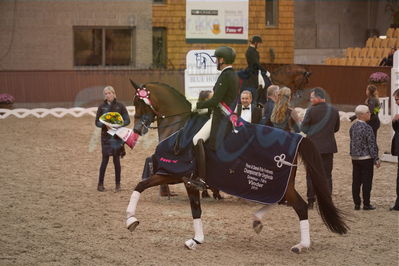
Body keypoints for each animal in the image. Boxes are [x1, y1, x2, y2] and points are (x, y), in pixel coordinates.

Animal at [126, 80, 348, 252]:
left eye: (139, 102)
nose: (136, 129)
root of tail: (297, 138)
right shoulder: (174, 175)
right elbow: (142, 186)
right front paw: (132, 220)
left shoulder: (182, 175)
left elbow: (193, 207)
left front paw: (131, 219)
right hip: (279, 185)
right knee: (286, 202)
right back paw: (260, 222)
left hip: (275, 183)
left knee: (299, 206)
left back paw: (301, 245)